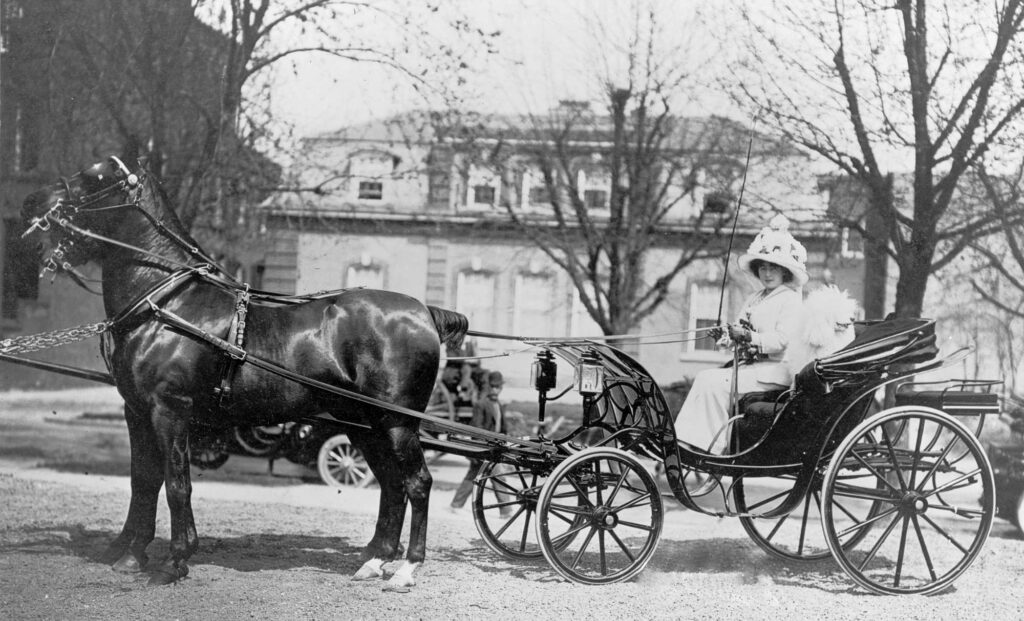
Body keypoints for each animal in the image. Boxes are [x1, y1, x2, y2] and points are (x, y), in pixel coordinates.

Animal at [19, 156, 468, 594]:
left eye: (94, 177)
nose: (33, 204)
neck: (167, 301)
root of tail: (424, 312)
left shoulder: (169, 410)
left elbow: (176, 483)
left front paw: (175, 561)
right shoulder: (137, 411)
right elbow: (143, 480)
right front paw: (131, 555)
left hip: (396, 423)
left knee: (418, 482)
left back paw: (407, 568)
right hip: (363, 423)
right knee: (392, 485)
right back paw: (375, 561)